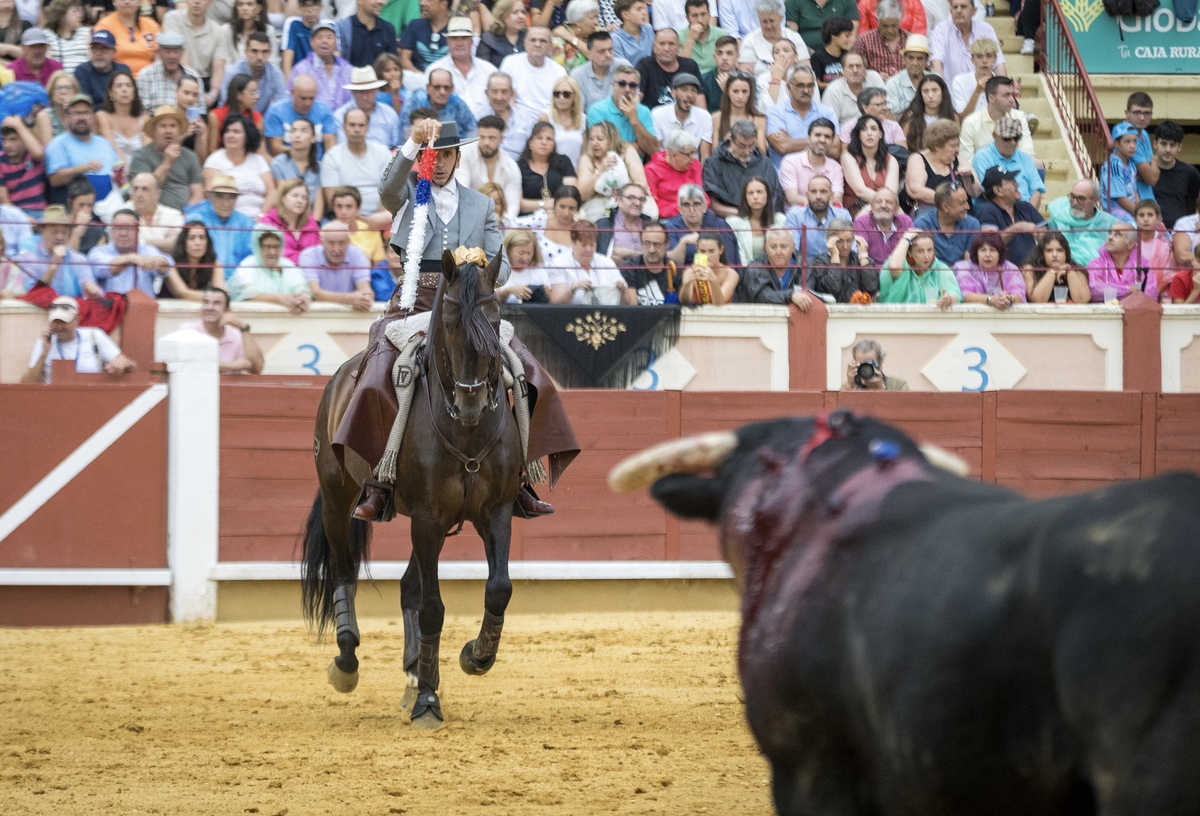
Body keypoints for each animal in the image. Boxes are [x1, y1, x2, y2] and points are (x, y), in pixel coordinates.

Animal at [300, 252, 520, 729]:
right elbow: (433, 607)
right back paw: (347, 663)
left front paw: (475, 657)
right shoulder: (426, 518)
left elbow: (498, 588)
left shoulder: (496, 512)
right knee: (344, 571)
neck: (467, 433)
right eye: (451, 324)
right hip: (337, 495)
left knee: (407, 587)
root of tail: (339, 378)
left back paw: (414, 672)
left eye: (496, 320)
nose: (472, 402)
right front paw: (428, 701)